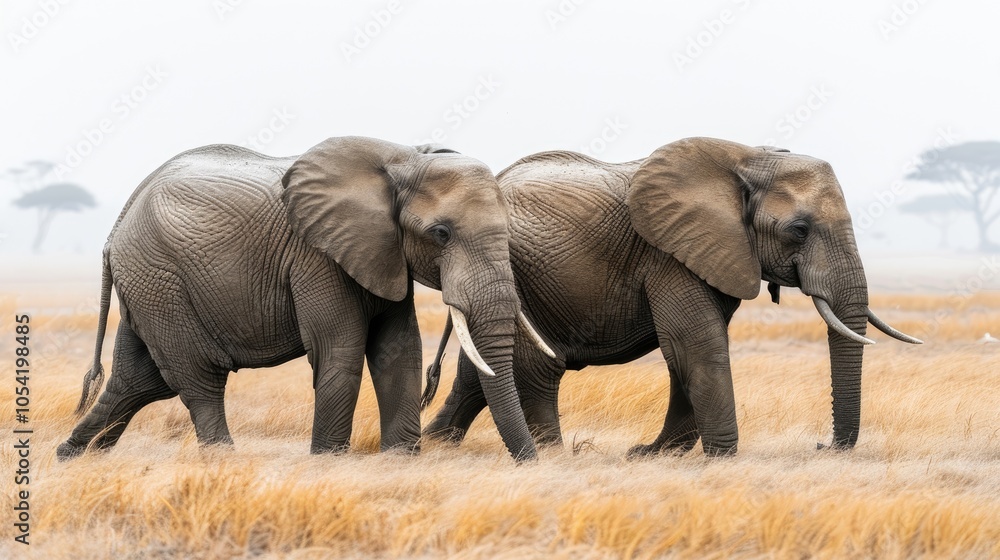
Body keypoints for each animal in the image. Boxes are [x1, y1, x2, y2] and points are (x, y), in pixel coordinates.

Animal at [57, 136, 550, 461]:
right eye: (442, 234)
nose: (530, 463)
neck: (404, 158)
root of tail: (116, 227)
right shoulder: (317, 255)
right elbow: (340, 351)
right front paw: (329, 461)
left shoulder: (383, 252)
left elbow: (400, 350)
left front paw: (401, 459)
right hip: (160, 279)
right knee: (195, 377)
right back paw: (223, 461)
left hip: (150, 285)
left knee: (137, 380)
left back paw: (77, 455)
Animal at [421, 137, 922, 456]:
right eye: (799, 230)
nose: (821, 445)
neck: (746, 158)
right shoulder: (669, 253)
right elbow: (695, 345)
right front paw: (720, 458)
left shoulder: (713, 252)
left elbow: (686, 353)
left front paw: (653, 454)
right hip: (522, 275)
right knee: (536, 367)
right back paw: (554, 454)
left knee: (481, 369)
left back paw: (435, 444)